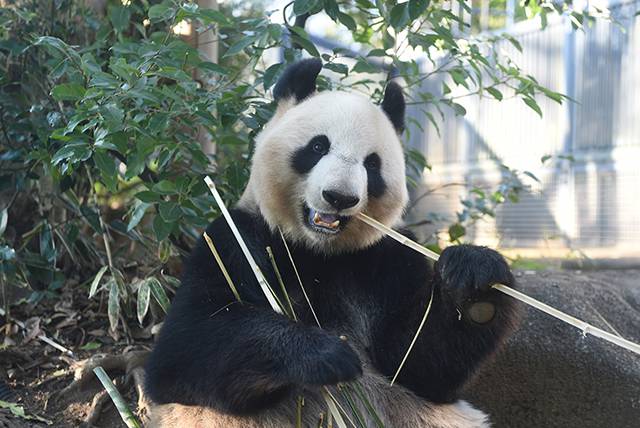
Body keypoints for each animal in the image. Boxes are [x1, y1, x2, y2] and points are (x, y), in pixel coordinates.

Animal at [142, 59, 516, 428]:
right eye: (318, 147)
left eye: (372, 164)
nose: (339, 197)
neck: (317, 251)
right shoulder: (233, 240)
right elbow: (184, 347)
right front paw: (324, 353)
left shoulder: (386, 258)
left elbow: (418, 365)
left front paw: (473, 277)